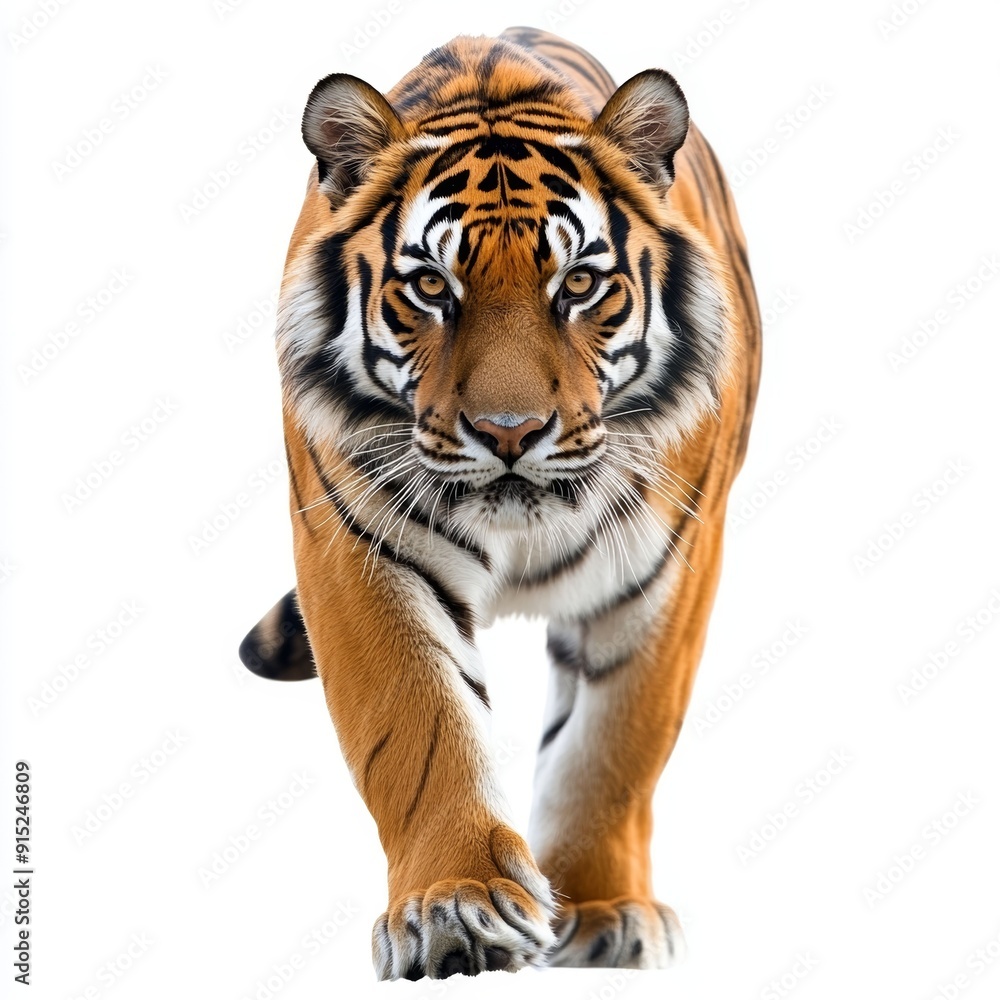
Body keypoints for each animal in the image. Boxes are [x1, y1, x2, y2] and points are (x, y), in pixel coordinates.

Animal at [239, 26, 761, 979]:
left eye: (580, 286)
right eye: (431, 288)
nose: (509, 432)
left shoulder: (671, 564)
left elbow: (612, 747)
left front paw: (601, 911)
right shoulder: (356, 545)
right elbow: (418, 725)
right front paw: (457, 907)